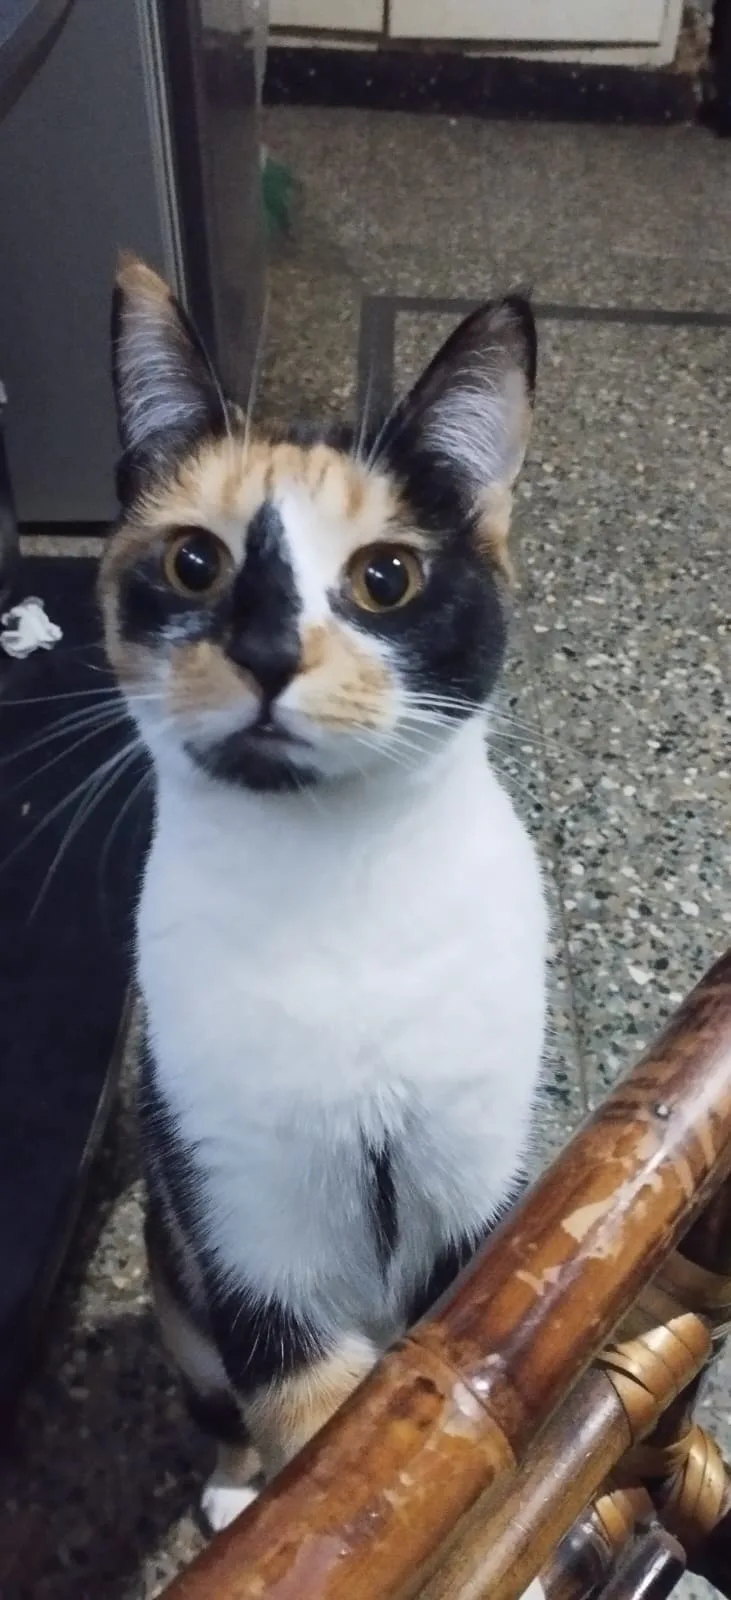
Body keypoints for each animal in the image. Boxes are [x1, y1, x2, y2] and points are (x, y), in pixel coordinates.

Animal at [101, 256, 547, 1533]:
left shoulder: (480, 1185)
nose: (262, 650)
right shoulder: (250, 1233)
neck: (335, 880)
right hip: (175, 1275)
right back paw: (230, 1485)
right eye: (194, 561)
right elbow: (315, 1436)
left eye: (384, 576)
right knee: (216, 1400)